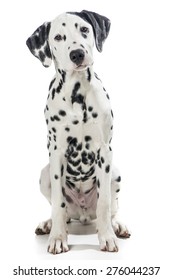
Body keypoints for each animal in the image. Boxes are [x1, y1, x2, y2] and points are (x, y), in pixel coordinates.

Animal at [26, 9, 130, 254]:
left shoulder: (104, 151)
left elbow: (104, 203)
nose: (77, 54)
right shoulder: (56, 153)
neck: (78, 94)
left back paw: (116, 226)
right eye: (58, 37)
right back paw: (50, 224)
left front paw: (107, 237)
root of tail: (82, 213)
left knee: (111, 208)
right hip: (44, 174)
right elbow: (58, 203)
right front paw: (57, 237)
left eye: (84, 29)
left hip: (115, 173)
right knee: (62, 211)